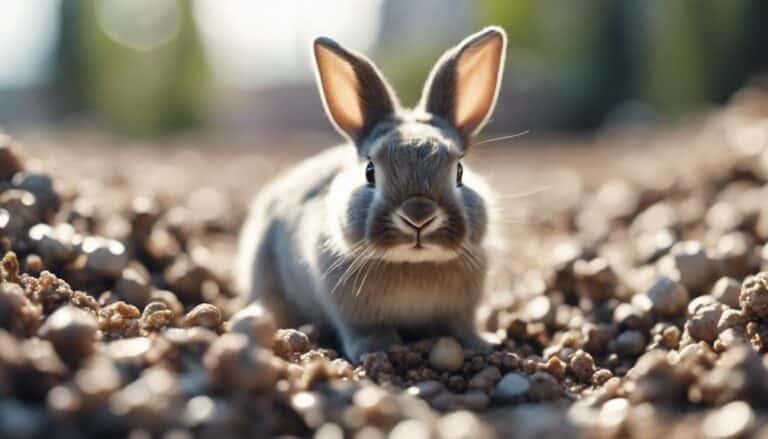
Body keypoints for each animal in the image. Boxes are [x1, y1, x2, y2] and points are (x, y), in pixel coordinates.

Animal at [237, 27, 507, 362]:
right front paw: (379, 349)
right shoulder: (352, 311)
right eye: (369, 172)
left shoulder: (461, 310)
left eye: (459, 171)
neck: (413, 264)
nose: (419, 216)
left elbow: (461, 327)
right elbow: (366, 330)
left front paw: (484, 344)